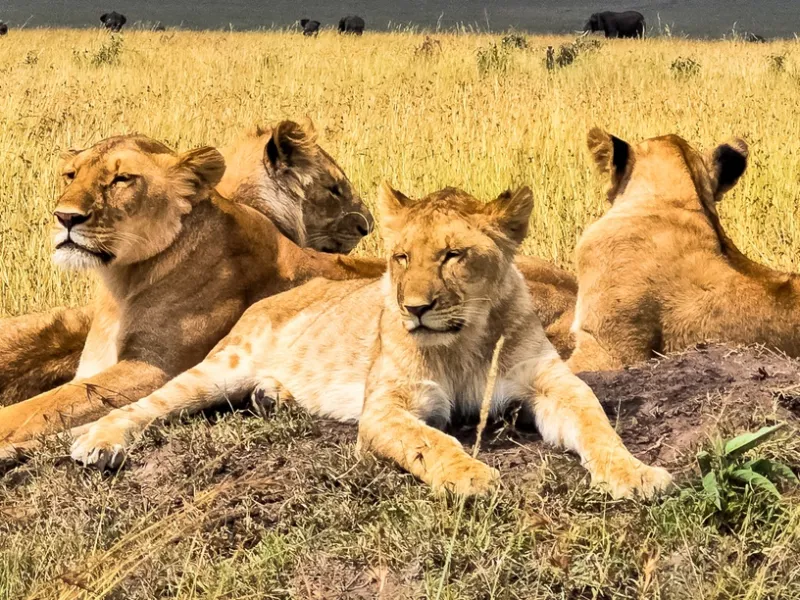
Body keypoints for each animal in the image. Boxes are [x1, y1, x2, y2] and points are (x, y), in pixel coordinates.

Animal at [0, 132, 386, 449]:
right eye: (71, 175)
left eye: (123, 179)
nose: (65, 217)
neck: (122, 281)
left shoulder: (153, 368)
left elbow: (39, 409)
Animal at [70, 184, 671, 499]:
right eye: (400, 257)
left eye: (453, 255)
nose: (415, 308)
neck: (465, 339)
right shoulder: (384, 407)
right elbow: (432, 442)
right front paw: (472, 477)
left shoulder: (551, 384)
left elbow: (596, 424)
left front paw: (635, 474)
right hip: (220, 366)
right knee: (153, 402)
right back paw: (97, 440)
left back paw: (272, 397)